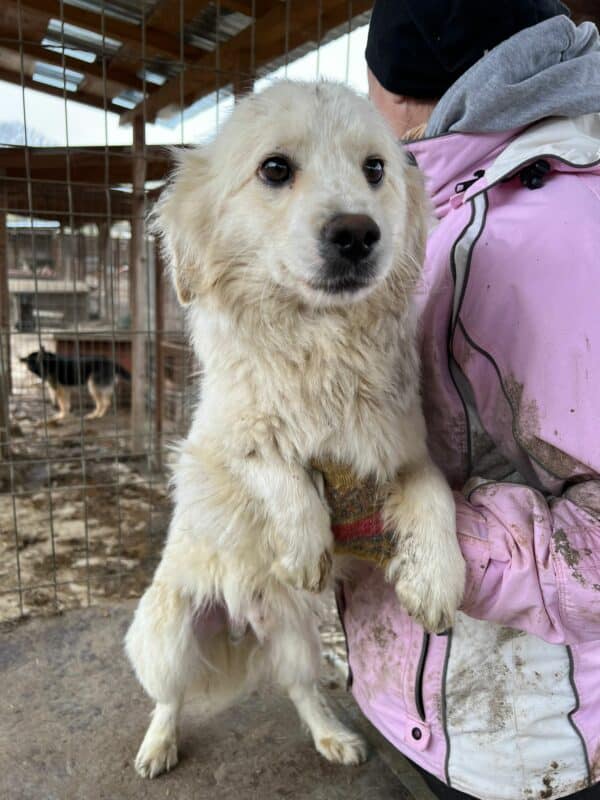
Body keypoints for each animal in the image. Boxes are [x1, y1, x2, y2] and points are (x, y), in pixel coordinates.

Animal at [125, 83, 464, 780]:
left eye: (375, 169)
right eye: (275, 168)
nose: (358, 233)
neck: (319, 345)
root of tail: (238, 625)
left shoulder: (400, 453)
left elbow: (434, 496)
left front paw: (437, 579)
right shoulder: (211, 446)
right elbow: (274, 463)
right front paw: (305, 544)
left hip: (296, 635)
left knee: (301, 690)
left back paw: (335, 735)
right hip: (164, 634)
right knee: (170, 698)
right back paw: (158, 746)